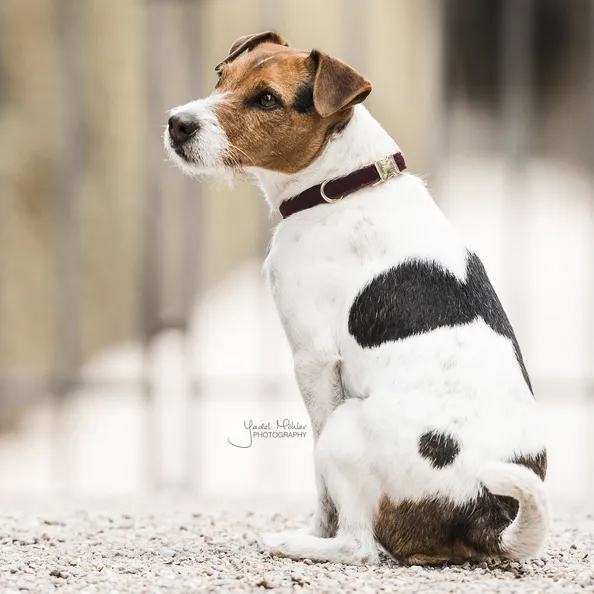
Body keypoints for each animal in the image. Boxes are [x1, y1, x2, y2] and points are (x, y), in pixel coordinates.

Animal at [164, 31, 548, 564]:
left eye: (267, 99)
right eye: (221, 77)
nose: (177, 123)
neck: (344, 185)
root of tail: (483, 514)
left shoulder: (313, 360)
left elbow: (320, 484)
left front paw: (315, 528)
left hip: (345, 429)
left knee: (360, 546)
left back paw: (295, 543)